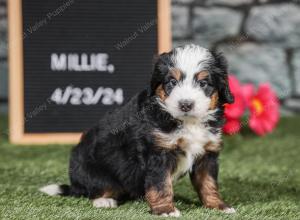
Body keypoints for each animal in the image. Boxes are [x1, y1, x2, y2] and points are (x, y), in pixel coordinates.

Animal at [39, 44, 236, 217]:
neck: (188, 122)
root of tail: (75, 183)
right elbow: (160, 184)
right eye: (172, 82)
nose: (185, 104)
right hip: (91, 170)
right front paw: (165, 210)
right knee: (95, 189)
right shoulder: (157, 153)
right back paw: (104, 201)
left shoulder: (207, 153)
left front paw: (218, 206)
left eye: (203, 83)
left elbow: (208, 183)